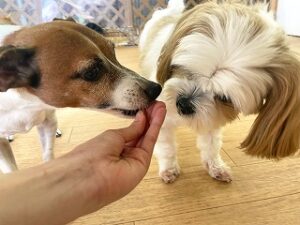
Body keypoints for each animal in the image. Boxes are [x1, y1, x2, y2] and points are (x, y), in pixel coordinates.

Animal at [0, 20, 162, 172]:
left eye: (113, 52)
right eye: (92, 72)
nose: (156, 89)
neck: (27, 106)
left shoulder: (47, 123)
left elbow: (48, 154)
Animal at [139, 0, 300, 183]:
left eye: (224, 98)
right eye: (187, 69)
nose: (184, 104)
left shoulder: (212, 119)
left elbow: (211, 146)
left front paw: (215, 166)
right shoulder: (163, 122)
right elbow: (166, 148)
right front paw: (169, 169)